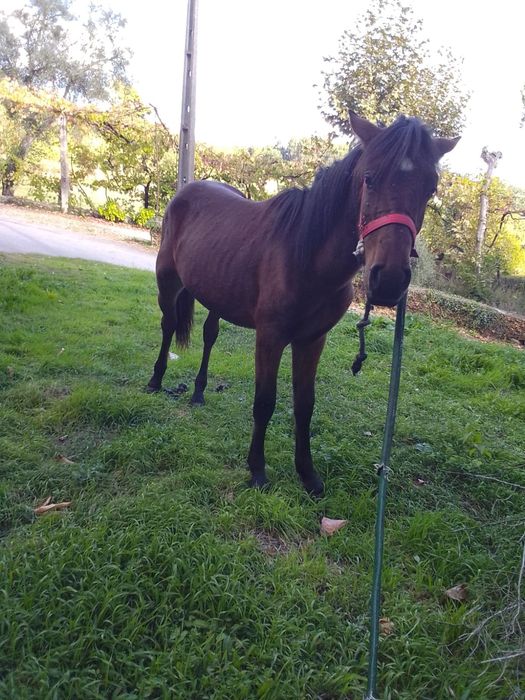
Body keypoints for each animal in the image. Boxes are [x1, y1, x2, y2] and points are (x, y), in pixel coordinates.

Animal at [147, 112, 459, 495]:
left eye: (430, 189)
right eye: (369, 178)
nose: (388, 280)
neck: (306, 256)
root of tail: (187, 190)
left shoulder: (312, 340)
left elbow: (305, 405)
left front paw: (308, 475)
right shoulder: (270, 337)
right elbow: (265, 401)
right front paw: (257, 470)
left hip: (217, 294)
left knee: (209, 336)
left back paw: (199, 392)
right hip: (167, 281)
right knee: (167, 326)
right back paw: (155, 380)